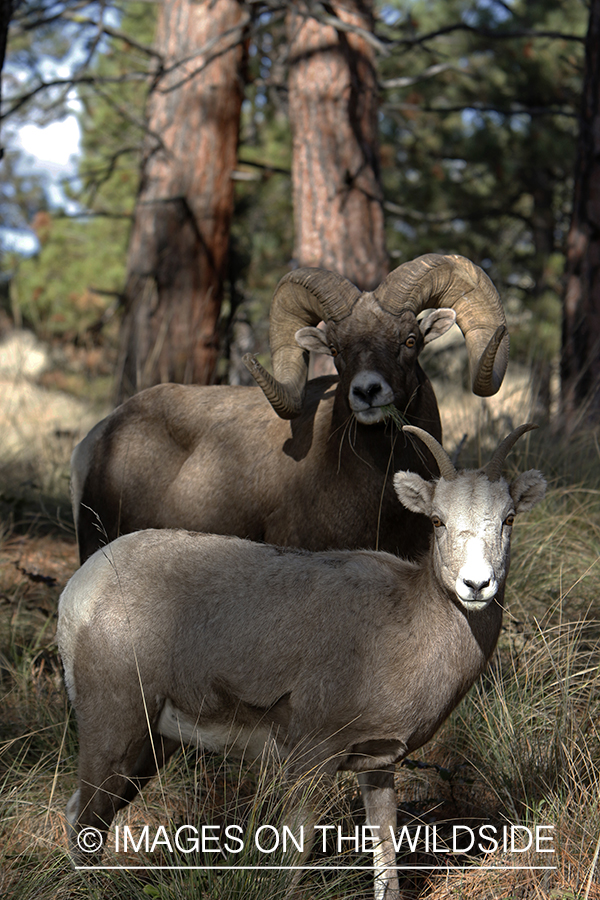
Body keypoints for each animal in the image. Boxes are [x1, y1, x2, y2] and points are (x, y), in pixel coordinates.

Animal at [58, 423, 545, 900]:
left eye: (509, 518)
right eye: (439, 520)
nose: (476, 585)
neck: (407, 622)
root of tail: (79, 594)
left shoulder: (379, 765)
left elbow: (385, 857)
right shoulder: (312, 758)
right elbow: (294, 859)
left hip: (152, 744)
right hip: (115, 729)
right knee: (84, 818)